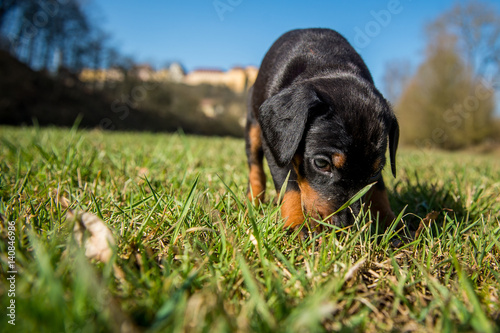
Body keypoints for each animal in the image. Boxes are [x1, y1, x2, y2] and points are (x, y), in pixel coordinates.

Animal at [244, 28, 400, 230]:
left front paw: (390, 222)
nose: (343, 228)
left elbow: (379, 188)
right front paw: (297, 224)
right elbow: (289, 185)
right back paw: (253, 201)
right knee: (255, 165)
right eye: (321, 163)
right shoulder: (277, 147)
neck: (329, 66)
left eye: (374, 172)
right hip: (254, 126)